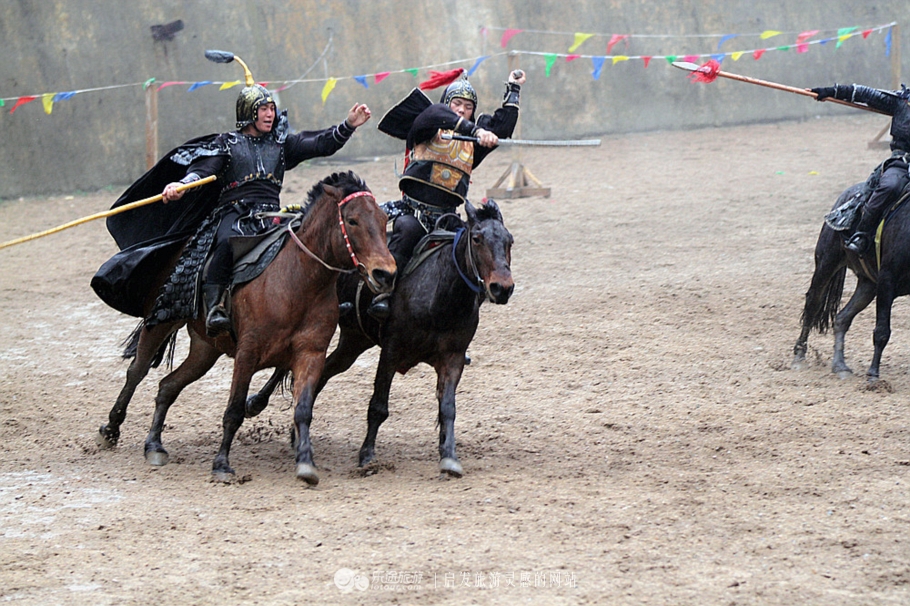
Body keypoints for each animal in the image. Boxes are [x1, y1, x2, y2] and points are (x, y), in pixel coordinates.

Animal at [95, 171, 396, 484]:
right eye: (352, 220)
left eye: (383, 219)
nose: (385, 274)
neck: (299, 281)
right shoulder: (247, 354)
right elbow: (234, 411)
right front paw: (221, 464)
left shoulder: (310, 354)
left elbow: (303, 409)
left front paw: (305, 463)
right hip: (161, 320)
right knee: (136, 372)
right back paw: (111, 430)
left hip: (205, 350)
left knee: (168, 386)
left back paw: (154, 444)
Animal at [246, 202, 516, 478]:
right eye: (477, 239)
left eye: (510, 241)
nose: (502, 288)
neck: (439, 296)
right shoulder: (391, 351)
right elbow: (378, 407)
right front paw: (367, 456)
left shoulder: (453, 358)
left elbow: (448, 408)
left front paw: (449, 457)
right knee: (286, 367)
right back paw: (256, 403)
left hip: (353, 342)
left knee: (321, 375)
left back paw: (294, 435)